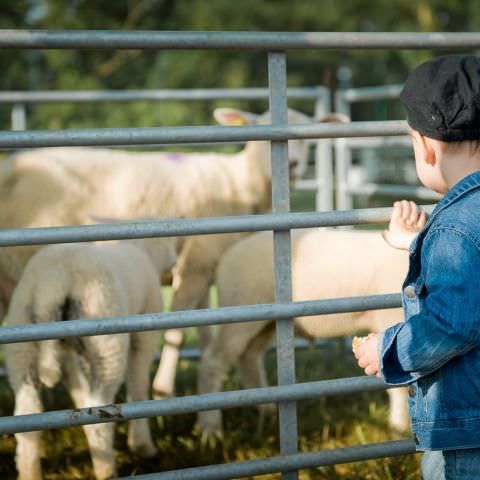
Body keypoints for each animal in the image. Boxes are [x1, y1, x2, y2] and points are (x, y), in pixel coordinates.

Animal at [4, 237, 176, 480]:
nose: (175, 263)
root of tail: (55, 280)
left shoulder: (66, 352)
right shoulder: (144, 335)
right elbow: (138, 385)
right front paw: (142, 446)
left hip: (22, 341)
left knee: (27, 414)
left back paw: (30, 473)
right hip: (106, 340)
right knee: (98, 415)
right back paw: (107, 471)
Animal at [197, 228, 410, 436]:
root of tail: (230, 252)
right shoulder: (389, 318)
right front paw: (399, 428)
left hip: (265, 323)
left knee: (249, 357)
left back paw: (267, 409)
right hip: (240, 313)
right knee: (213, 362)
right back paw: (210, 429)